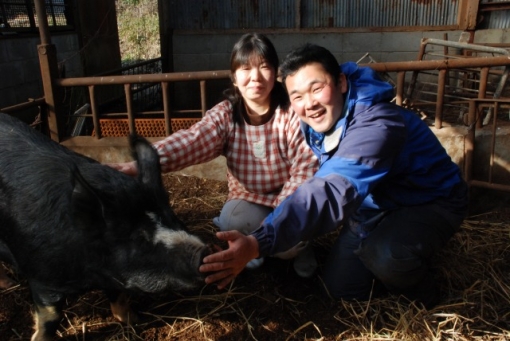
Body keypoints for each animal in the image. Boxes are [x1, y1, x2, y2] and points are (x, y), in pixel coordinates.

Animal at [0, 113, 212, 340]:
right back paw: (10, 284)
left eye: (172, 217)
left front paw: (136, 321)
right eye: (138, 237)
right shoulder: (41, 276)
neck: (90, 274)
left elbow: (119, 296)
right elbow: (51, 317)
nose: (204, 250)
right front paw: (39, 339)